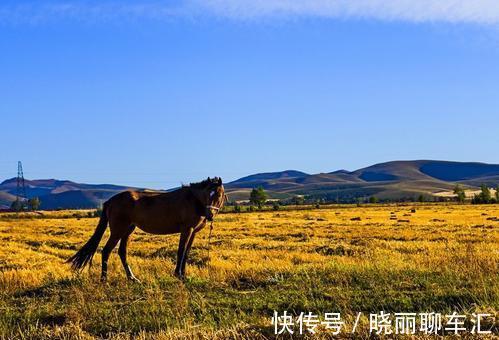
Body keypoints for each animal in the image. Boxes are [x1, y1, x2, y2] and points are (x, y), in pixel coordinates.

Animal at [67, 177, 227, 280]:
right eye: (209, 193)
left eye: (218, 194)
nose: (210, 215)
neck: (193, 200)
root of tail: (111, 201)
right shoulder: (186, 230)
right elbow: (181, 252)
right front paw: (178, 275)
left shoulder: (193, 232)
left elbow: (186, 253)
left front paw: (183, 274)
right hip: (118, 231)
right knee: (106, 251)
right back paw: (104, 279)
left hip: (128, 230)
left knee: (122, 252)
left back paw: (132, 278)